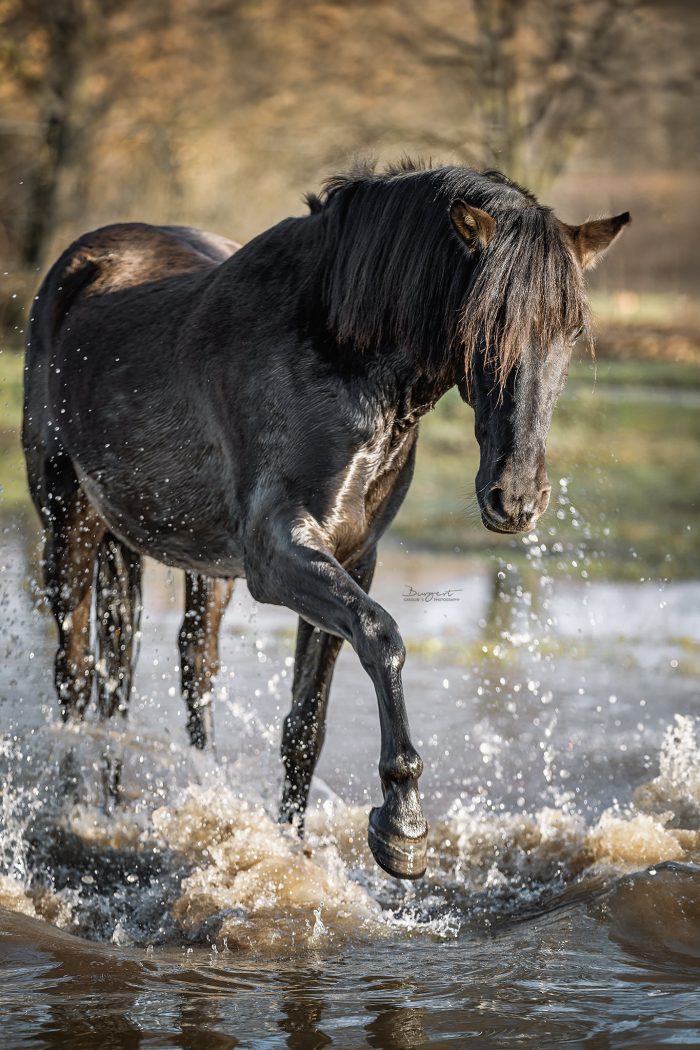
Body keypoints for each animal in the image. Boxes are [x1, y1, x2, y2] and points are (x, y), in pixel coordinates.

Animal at [21, 161, 629, 877]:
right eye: (487, 323)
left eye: (570, 333)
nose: (516, 499)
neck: (337, 353)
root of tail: (81, 267)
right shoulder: (279, 552)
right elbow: (382, 636)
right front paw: (402, 824)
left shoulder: (351, 556)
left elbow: (306, 722)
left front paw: (293, 850)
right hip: (70, 527)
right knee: (76, 677)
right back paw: (79, 816)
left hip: (194, 566)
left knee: (175, 676)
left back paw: (145, 806)